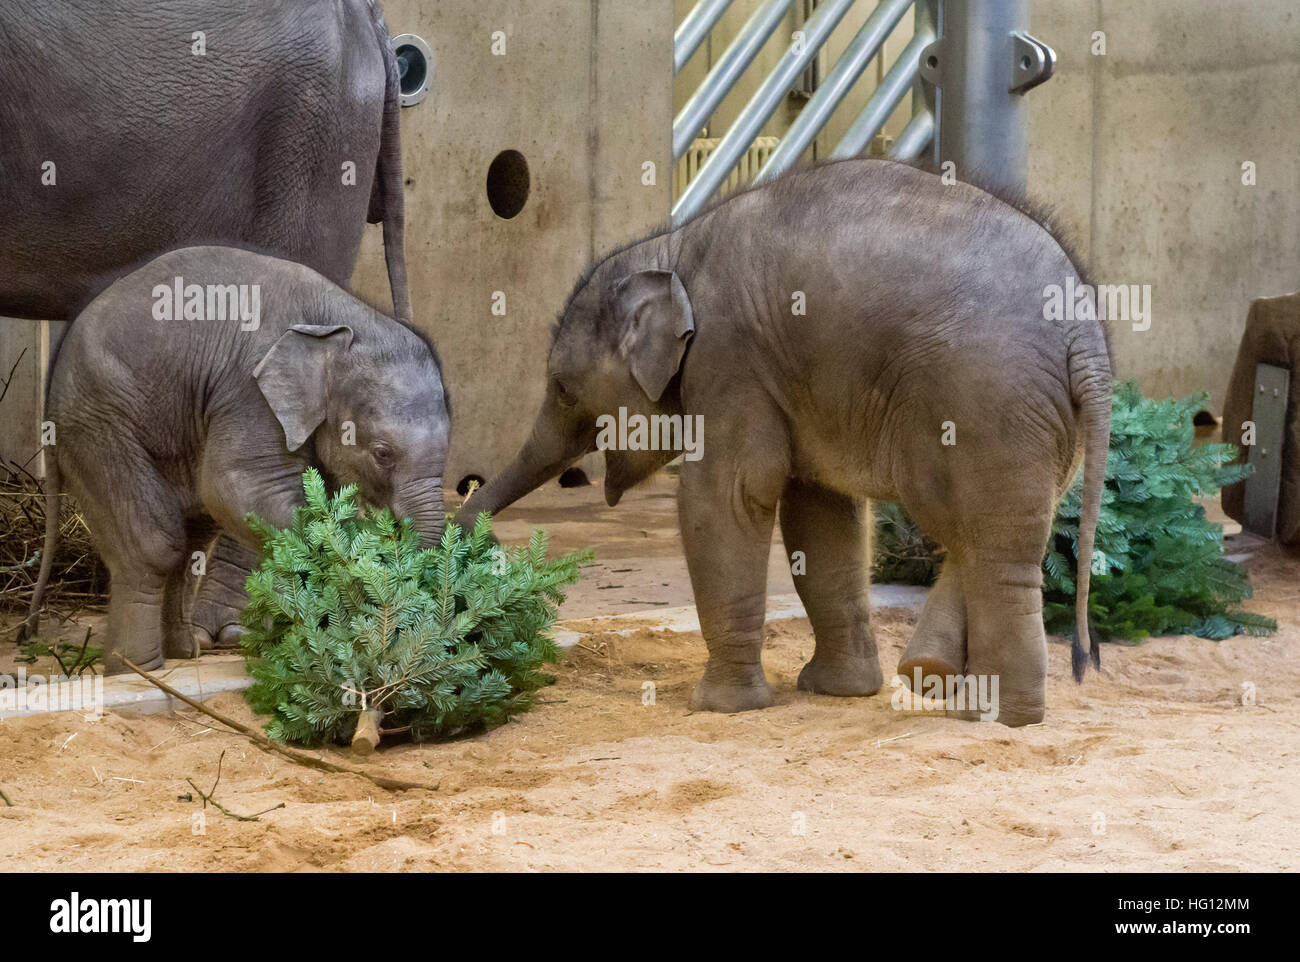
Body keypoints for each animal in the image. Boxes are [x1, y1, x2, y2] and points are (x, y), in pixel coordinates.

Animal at [23, 245, 450, 674]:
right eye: (382, 453)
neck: (341, 319)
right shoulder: (247, 390)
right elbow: (235, 487)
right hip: (100, 421)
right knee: (156, 543)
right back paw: (139, 669)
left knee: (191, 539)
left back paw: (184, 651)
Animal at [456, 158, 1112, 727]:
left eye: (564, 391)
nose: (468, 546)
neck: (670, 248)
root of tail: (1085, 336)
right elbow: (820, 515)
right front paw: (838, 691)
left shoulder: (729, 359)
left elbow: (726, 497)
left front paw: (716, 708)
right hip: (1044, 425)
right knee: (993, 534)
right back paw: (949, 687)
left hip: (987, 403)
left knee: (984, 539)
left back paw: (999, 714)